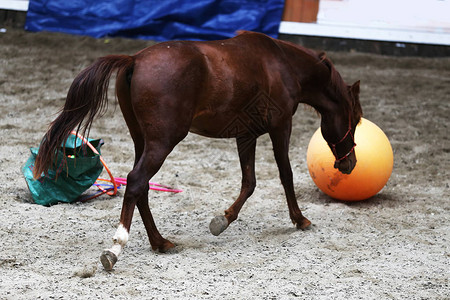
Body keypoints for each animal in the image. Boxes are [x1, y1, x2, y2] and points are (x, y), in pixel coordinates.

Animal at [32, 30, 362, 270]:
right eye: (356, 119)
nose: (349, 165)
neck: (281, 63)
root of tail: (134, 59)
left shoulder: (246, 134)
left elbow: (250, 181)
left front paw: (222, 220)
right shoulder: (281, 126)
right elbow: (285, 174)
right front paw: (300, 219)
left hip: (143, 141)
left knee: (140, 187)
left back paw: (160, 242)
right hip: (163, 142)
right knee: (137, 182)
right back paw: (116, 248)